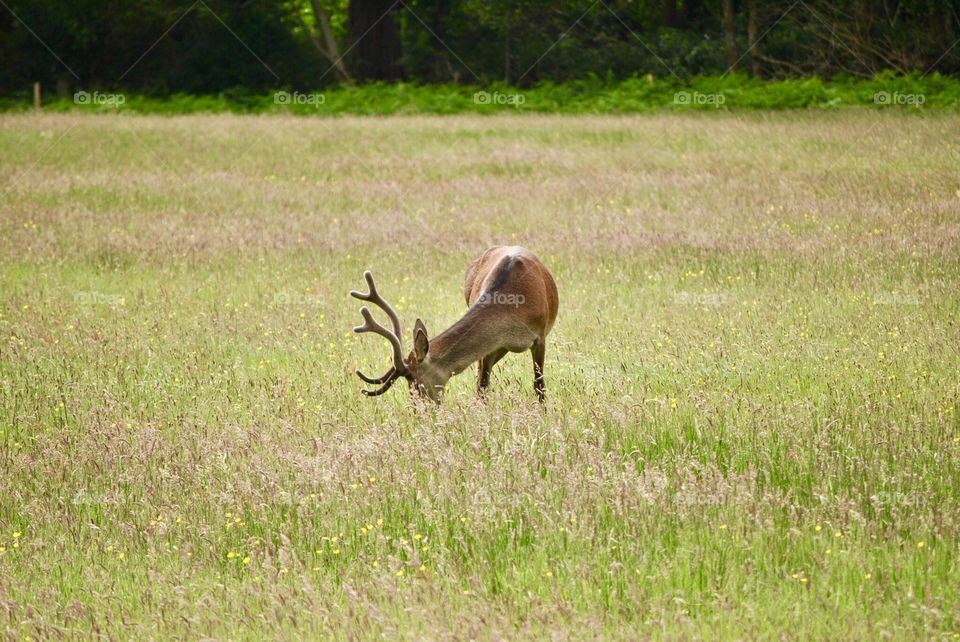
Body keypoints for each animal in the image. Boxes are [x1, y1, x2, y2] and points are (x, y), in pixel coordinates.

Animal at [350, 245, 560, 400]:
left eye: (416, 383)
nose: (418, 411)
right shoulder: (491, 347)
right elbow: (482, 386)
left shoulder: (540, 337)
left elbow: (539, 386)